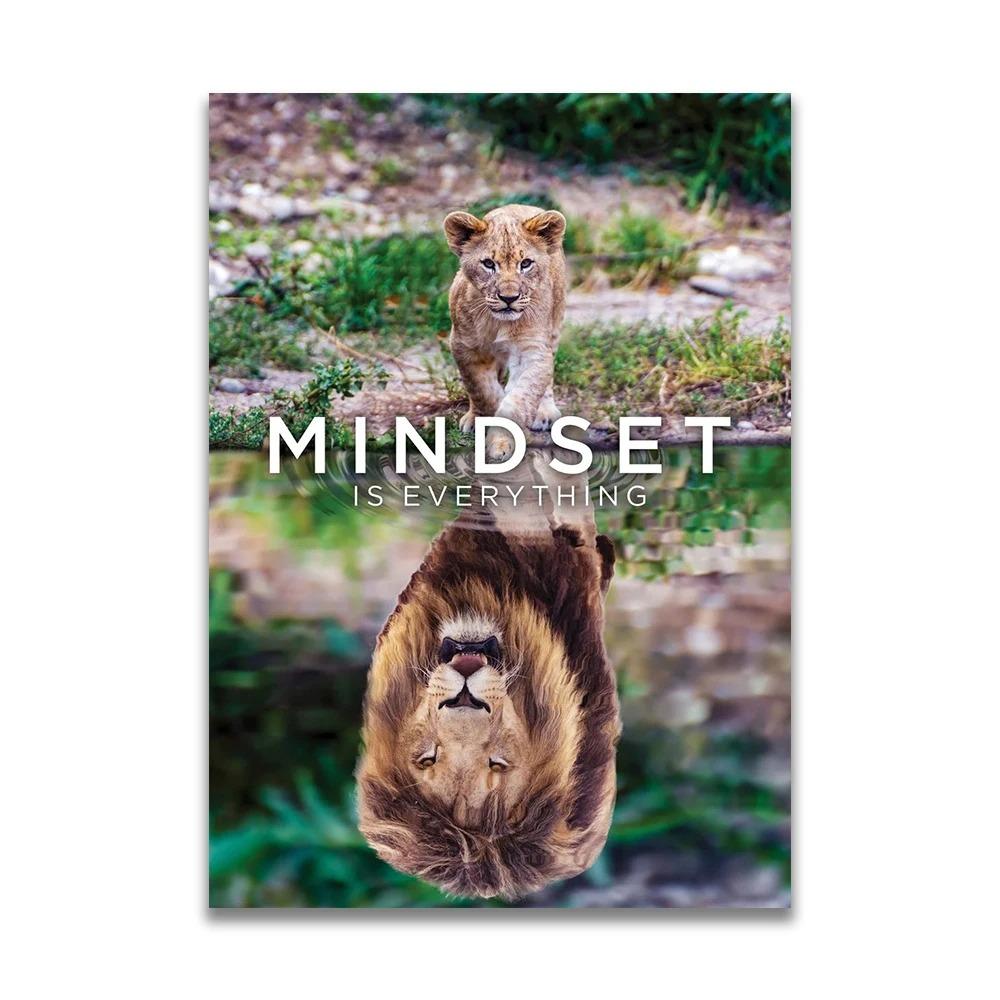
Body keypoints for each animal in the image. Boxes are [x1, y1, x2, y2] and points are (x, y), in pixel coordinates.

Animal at [443, 204, 567, 462]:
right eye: (489, 264)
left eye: (526, 263)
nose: (509, 298)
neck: (497, 323)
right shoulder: (463, 346)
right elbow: (482, 390)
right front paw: (485, 415)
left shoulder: (532, 350)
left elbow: (521, 397)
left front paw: (502, 442)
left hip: (555, 323)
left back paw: (545, 412)